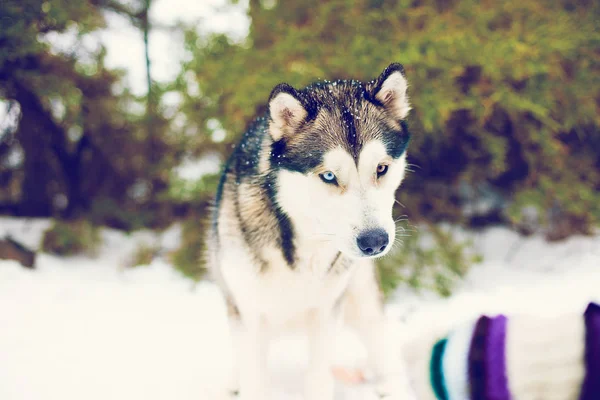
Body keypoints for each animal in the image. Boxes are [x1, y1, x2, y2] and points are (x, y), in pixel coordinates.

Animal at [209, 64, 414, 398]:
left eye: (381, 168)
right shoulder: (249, 315)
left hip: (360, 299)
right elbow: (255, 379)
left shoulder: (326, 311)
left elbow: (319, 377)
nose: (375, 242)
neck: (305, 248)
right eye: (329, 176)